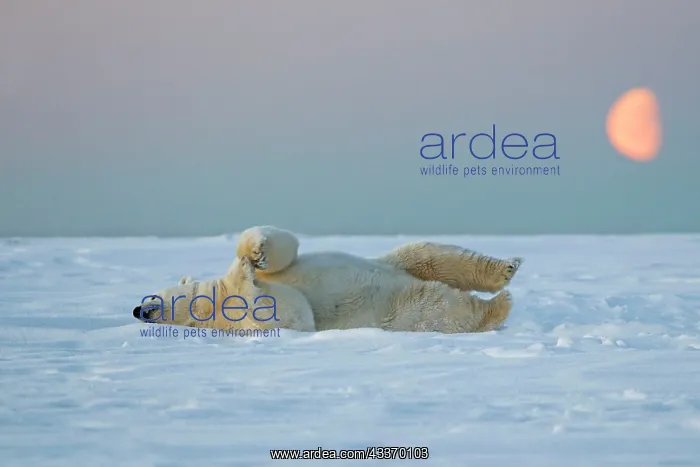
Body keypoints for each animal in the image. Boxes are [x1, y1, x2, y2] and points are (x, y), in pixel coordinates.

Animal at [132, 225, 523, 334]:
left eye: (151, 296)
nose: (139, 311)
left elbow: (284, 247)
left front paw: (254, 254)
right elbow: (291, 313)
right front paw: (246, 273)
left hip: (397, 263)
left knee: (432, 255)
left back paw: (508, 266)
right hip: (404, 310)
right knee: (442, 305)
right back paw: (497, 307)